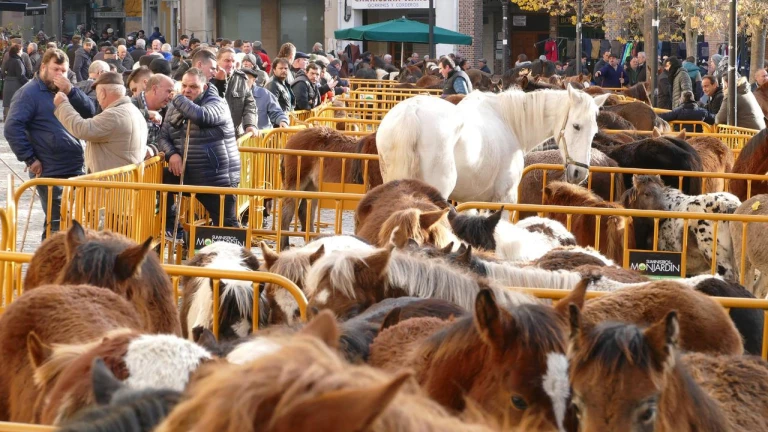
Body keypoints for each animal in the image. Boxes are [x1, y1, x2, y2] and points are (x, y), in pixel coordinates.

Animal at [376, 87, 610, 203]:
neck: (508, 121)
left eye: (594, 132)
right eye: (576, 126)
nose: (580, 173)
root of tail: (411, 112)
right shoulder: (504, 198)